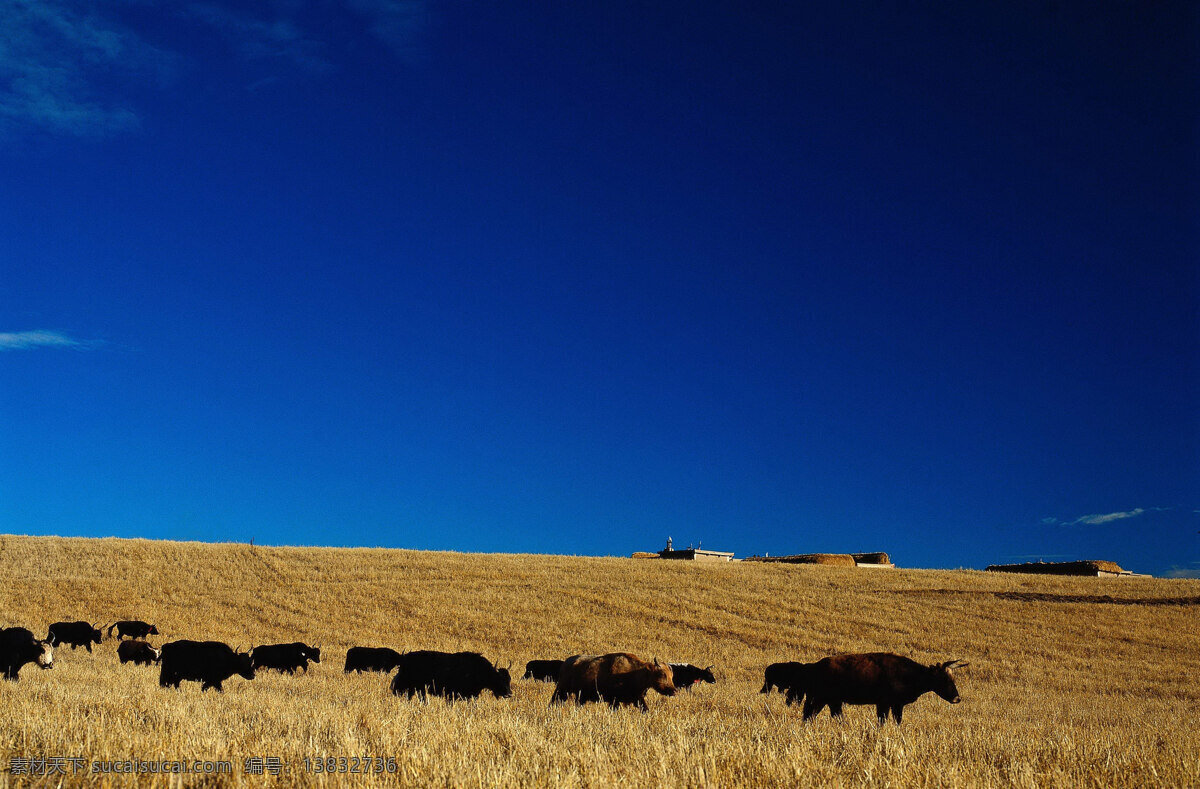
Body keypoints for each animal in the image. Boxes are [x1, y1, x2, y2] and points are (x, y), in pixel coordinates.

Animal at [801, 647, 969, 724]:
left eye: (952, 678)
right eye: (943, 679)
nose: (957, 698)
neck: (910, 674)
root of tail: (815, 666)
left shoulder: (896, 705)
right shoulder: (884, 703)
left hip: (830, 700)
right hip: (824, 698)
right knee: (811, 714)